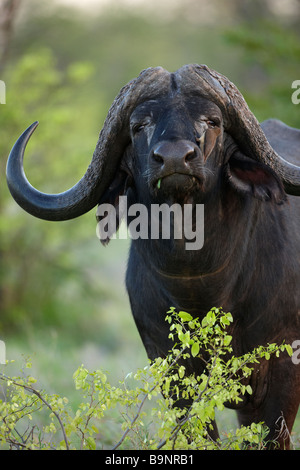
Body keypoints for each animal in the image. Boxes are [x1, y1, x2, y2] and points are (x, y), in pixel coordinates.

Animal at [6, 65, 300, 448]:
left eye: (213, 120)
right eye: (139, 125)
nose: (174, 158)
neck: (200, 286)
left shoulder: (284, 367)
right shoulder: (169, 367)